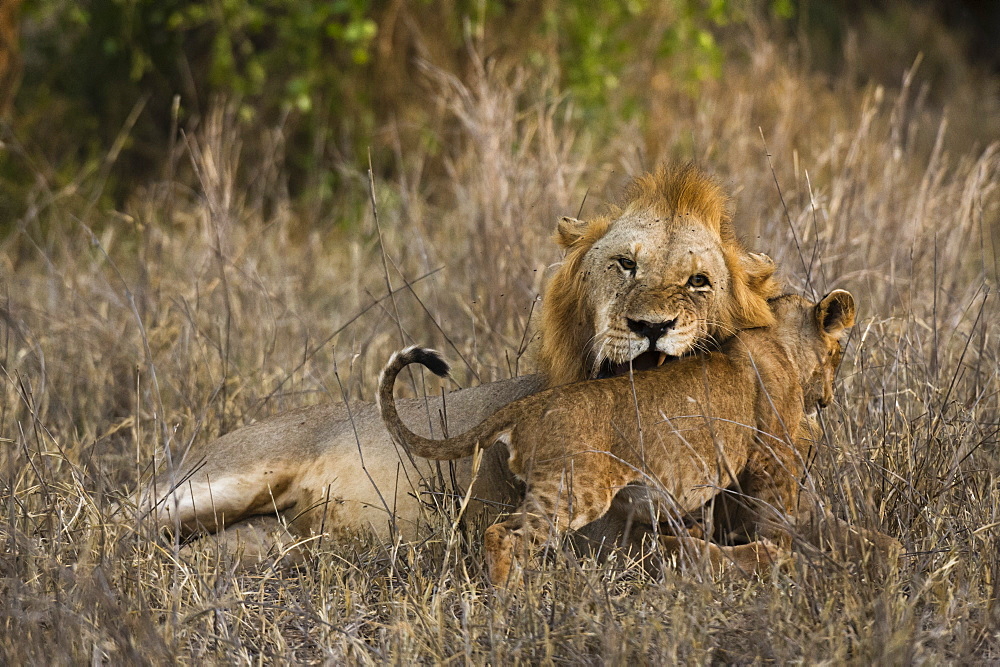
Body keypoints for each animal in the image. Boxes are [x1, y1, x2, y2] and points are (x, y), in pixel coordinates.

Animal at [139, 166, 780, 552]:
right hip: (219, 481)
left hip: (272, 542)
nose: (650, 327)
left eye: (699, 281)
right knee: (128, 520)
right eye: (625, 264)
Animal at [378, 292, 856, 584]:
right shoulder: (774, 460)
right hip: (573, 490)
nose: (830, 397)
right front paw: (783, 557)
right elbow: (779, 523)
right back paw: (506, 599)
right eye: (839, 353)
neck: (779, 341)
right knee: (504, 534)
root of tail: (527, 406)